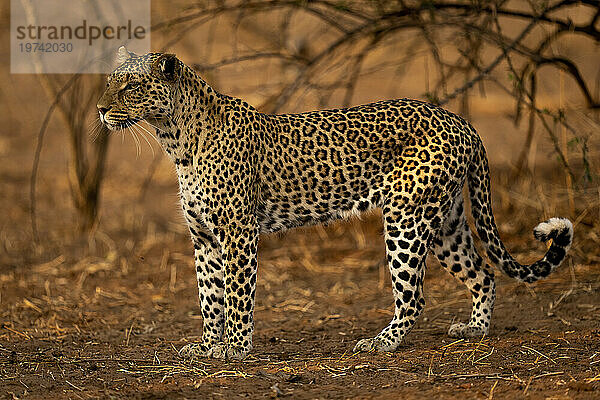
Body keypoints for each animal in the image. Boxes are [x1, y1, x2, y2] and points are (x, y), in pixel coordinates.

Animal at [96, 47, 576, 362]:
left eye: (132, 87)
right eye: (108, 83)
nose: (100, 109)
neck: (175, 140)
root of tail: (462, 121)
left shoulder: (238, 233)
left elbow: (236, 295)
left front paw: (235, 349)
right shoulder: (204, 238)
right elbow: (209, 296)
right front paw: (208, 345)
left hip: (406, 219)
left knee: (415, 295)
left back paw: (381, 343)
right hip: (446, 222)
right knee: (483, 272)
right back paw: (473, 330)